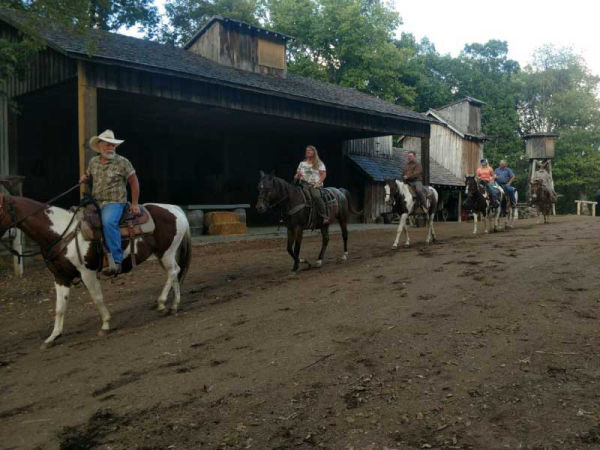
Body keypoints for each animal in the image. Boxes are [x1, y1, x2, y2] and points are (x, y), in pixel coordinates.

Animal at [0, 194, 191, 348]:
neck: (61, 233)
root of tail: (175, 209)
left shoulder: (87, 272)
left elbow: (97, 297)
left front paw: (105, 325)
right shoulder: (60, 277)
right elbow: (60, 307)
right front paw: (53, 337)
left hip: (166, 253)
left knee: (173, 272)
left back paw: (165, 303)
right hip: (162, 255)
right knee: (174, 272)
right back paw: (171, 305)